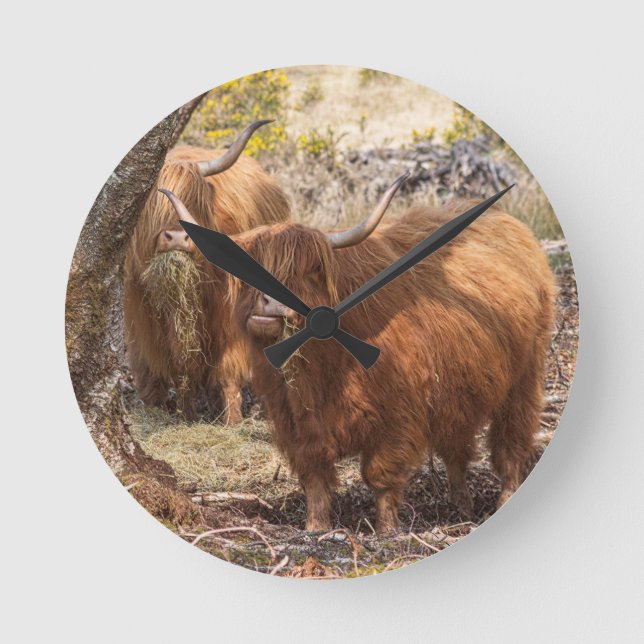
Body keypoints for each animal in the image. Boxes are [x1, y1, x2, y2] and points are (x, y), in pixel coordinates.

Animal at [124, 121, 290, 423]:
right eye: (151, 204)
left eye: (194, 199)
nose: (177, 238)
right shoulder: (144, 320)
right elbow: (167, 374)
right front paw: (178, 414)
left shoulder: (229, 317)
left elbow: (228, 372)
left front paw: (232, 421)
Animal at [162, 183, 556, 533]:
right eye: (245, 270)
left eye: (310, 270)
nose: (268, 302)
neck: (320, 372)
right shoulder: (294, 419)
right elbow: (314, 475)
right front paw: (315, 527)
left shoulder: (397, 415)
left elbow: (380, 476)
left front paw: (387, 531)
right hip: (460, 386)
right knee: (456, 447)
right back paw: (462, 508)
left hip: (525, 376)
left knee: (511, 442)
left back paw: (503, 498)